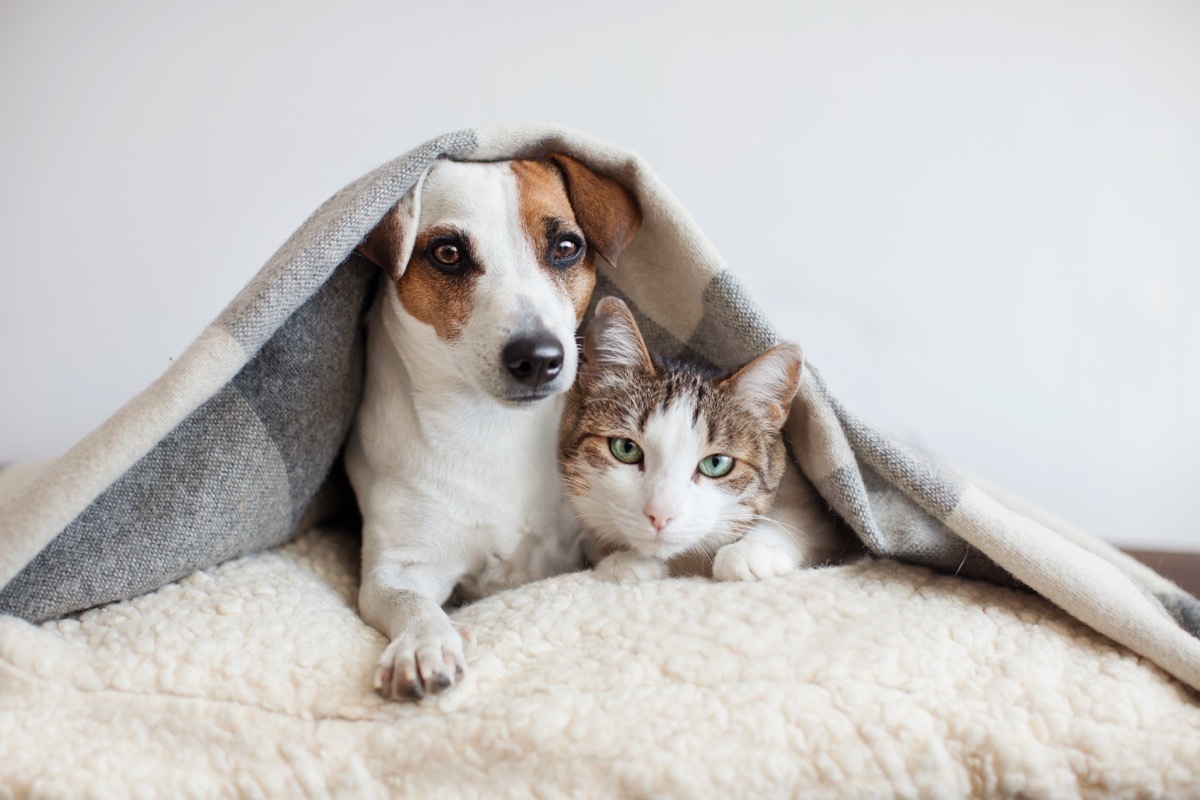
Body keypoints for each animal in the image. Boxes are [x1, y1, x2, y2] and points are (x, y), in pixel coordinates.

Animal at [348, 153, 643, 695]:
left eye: (566, 247)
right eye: (447, 253)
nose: (539, 358)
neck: (493, 428)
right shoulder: (397, 568)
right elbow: (409, 601)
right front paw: (423, 643)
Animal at [559, 297, 849, 585]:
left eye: (717, 463)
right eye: (626, 448)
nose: (660, 514)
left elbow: (802, 521)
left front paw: (751, 550)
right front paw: (625, 560)